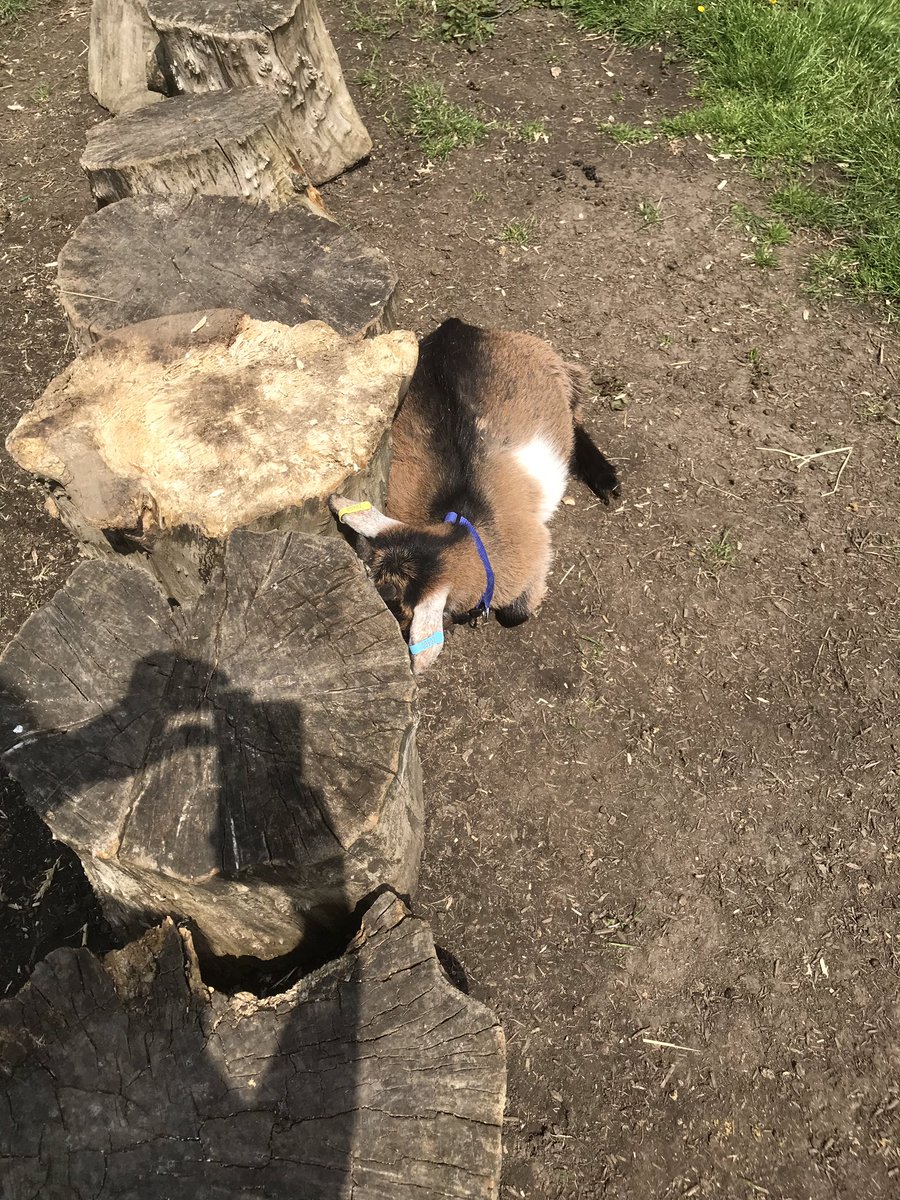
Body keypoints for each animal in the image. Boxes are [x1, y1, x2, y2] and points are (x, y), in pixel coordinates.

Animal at [329, 317, 619, 672]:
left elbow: (516, 614)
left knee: (576, 422)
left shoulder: (536, 554)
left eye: (393, 607)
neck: (466, 526)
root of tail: (456, 326)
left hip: (558, 374)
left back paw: (606, 479)